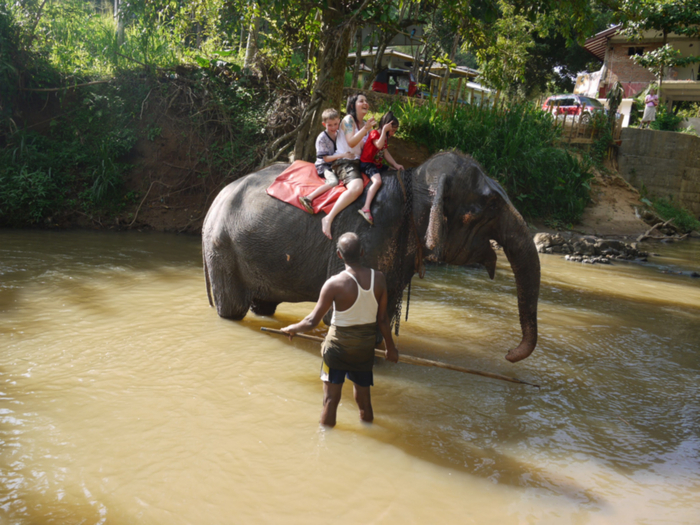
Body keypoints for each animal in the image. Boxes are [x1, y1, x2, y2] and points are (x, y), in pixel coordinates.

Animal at [202, 151, 540, 362]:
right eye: (491, 205)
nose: (508, 354)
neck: (414, 181)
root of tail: (214, 200)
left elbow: (384, 312)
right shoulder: (369, 236)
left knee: (263, 305)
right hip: (222, 248)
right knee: (232, 308)